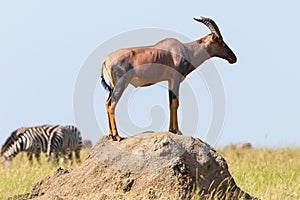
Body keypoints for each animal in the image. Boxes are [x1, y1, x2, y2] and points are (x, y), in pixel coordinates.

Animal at [101, 16, 237, 141]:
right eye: (220, 41)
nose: (233, 58)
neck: (184, 49)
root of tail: (106, 59)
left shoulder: (170, 81)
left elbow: (171, 102)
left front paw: (172, 130)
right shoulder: (175, 79)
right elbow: (176, 103)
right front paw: (177, 131)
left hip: (113, 86)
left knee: (107, 102)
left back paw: (110, 135)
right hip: (120, 84)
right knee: (112, 104)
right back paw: (117, 136)